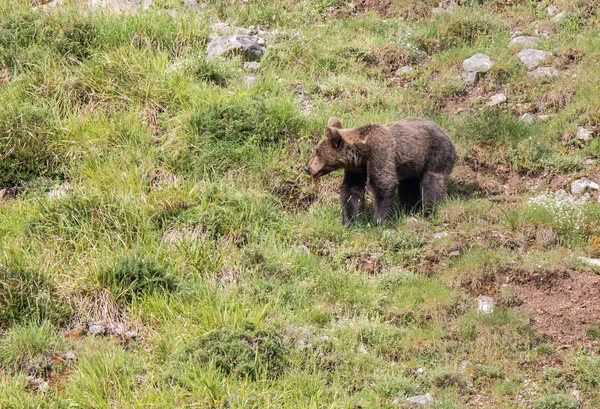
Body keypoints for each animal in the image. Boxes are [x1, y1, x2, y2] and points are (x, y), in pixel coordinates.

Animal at [308, 116, 458, 225]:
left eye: (317, 152)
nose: (308, 168)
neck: (363, 153)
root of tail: (444, 131)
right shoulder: (357, 168)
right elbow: (351, 190)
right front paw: (349, 220)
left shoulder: (381, 152)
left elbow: (382, 184)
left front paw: (380, 220)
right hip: (411, 165)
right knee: (409, 186)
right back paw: (410, 208)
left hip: (436, 153)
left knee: (432, 182)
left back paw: (429, 210)